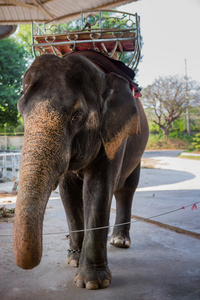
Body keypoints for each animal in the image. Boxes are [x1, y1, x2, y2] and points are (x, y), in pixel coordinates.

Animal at [13, 50, 148, 290]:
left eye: (77, 116)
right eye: (21, 111)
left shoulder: (114, 136)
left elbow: (98, 188)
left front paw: (92, 283)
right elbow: (69, 193)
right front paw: (73, 260)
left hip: (136, 149)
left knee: (126, 189)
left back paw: (119, 241)